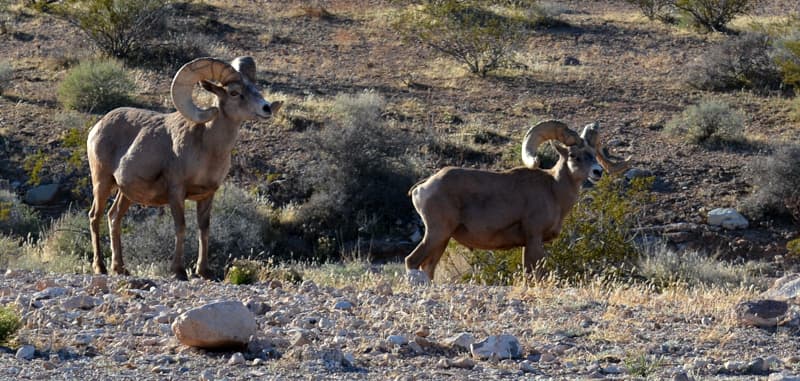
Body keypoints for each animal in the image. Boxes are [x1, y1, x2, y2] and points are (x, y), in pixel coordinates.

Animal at [86, 55, 282, 280]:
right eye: (234, 92)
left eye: (255, 88)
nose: (266, 108)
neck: (208, 149)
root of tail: (97, 127)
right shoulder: (176, 192)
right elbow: (180, 227)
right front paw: (179, 271)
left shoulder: (207, 195)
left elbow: (204, 229)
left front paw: (203, 271)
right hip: (102, 182)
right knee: (95, 217)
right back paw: (100, 267)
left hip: (125, 193)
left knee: (114, 217)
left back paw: (120, 268)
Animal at [406, 120, 632, 280]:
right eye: (574, 155)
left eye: (594, 154)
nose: (597, 172)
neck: (553, 190)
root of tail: (422, 187)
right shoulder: (534, 238)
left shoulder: (528, 243)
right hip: (437, 232)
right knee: (411, 261)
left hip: (443, 239)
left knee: (427, 268)